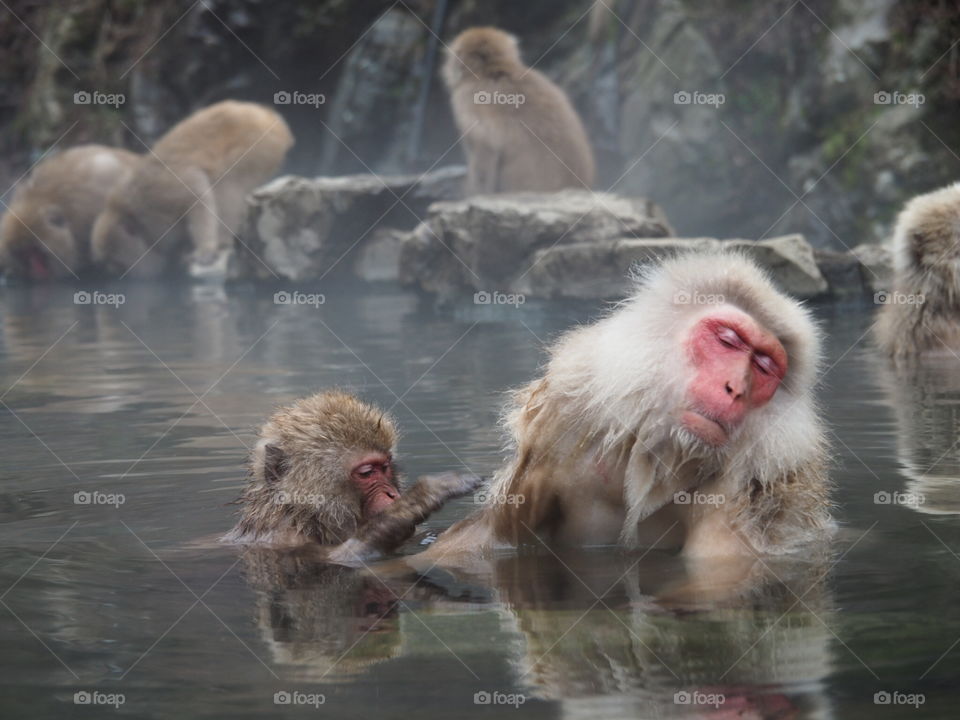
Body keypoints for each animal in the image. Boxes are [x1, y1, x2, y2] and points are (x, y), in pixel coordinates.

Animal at [91, 100, 293, 278]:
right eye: (112, 264)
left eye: (118, 263)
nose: (117, 273)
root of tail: (268, 116)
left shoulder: (159, 194)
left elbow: (197, 194)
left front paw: (205, 250)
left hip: (259, 146)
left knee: (228, 183)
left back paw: (221, 242)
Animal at [222, 390, 480, 563]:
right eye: (367, 473)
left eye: (385, 466)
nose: (393, 494)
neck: (305, 518)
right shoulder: (285, 539)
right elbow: (342, 559)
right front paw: (419, 499)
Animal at [416, 252, 832, 566]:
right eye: (728, 340)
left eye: (764, 366)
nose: (736, 390)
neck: (663, 453)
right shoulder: (559, 427)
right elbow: (491, 539)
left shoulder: (761, 482)